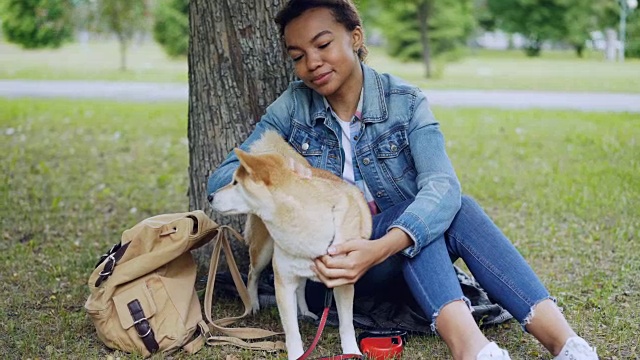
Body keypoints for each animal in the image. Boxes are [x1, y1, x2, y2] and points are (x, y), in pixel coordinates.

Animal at [210, 131, 370, 358]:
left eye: (235, 183)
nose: (210, 196)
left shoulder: (343, 280)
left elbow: (346, 324)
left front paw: (351, 351)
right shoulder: (283, 283)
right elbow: (292, 331)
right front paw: (296, 354)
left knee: (301, 286)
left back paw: (304, 310)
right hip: (263, 252)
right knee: (252, 274)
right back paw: (253, 303)